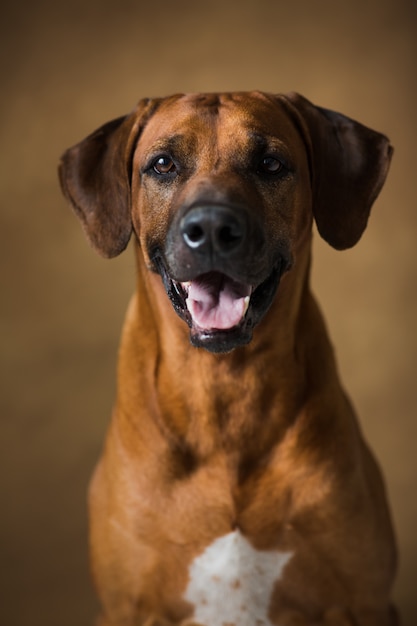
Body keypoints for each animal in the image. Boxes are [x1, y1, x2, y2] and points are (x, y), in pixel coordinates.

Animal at [58, 92, 396, 624]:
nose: (213, 228)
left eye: (270, 163)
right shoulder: (126, 606)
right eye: (163, 164)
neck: (224, 388)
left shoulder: (363, 602)